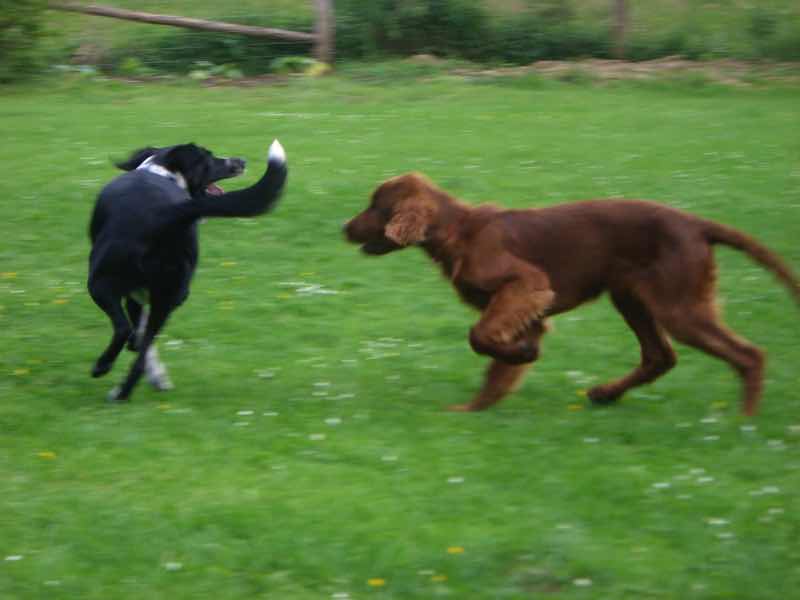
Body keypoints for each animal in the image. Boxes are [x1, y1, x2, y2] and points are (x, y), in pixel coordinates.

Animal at [88, 141, 288, 404]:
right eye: (210, 159)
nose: (241, 161)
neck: (161, 172)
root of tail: (167, 211)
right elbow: (145, 343)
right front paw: (158, 376)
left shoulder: (132, 296)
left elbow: (135, 332)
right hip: (167, 296)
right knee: (141, 352)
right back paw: (123, 393)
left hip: (98, 283)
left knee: (122, 328)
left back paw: (102, 367)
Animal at [346, 173, 800, 414]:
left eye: (375, 206)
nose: (343, 228)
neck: (460, 231)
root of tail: (696, 223)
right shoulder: (528, 309)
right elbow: (496, 367)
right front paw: (474, 408)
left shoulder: (527, 284)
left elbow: (479, 338)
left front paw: (518, 358)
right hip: (631, 298)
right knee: (660, 356)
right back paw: (604, 394)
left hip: (679, 306)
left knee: (748, 355)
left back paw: (742, 422)